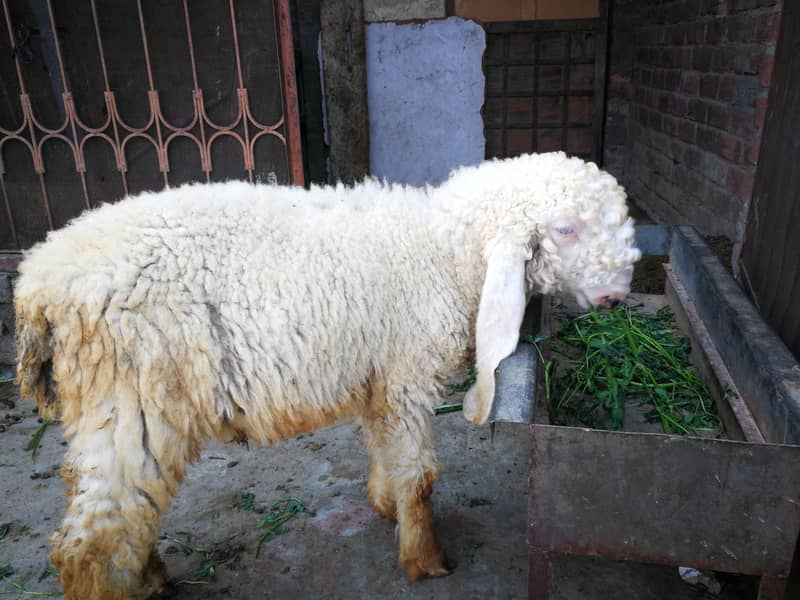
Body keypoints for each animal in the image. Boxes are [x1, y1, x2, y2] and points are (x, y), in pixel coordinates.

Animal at [15, 151, 641, 599]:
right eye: (565, 229)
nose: (617, 296)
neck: (443, 251)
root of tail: (36, 282)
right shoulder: (408, 373)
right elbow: (420, 475)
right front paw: (424, 560)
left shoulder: (378, 375)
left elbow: (382, 447)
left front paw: (384, 505)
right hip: (136, 394)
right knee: (93, 540)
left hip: (102, 406)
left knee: (106, 507)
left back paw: (148, 574)